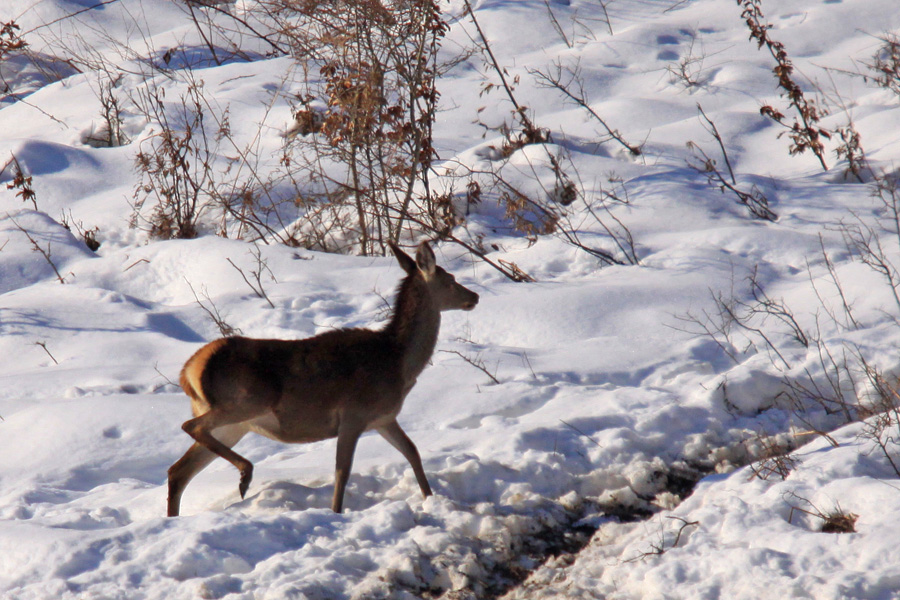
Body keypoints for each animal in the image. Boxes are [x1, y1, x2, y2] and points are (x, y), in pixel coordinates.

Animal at [167, 241, 478, 516]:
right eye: (450, 280)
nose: (474, 297)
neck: (399, 364)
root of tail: (188, 372)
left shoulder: (383, 418)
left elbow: (412, 451)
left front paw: (430, 498)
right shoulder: (353, 414)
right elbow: (342, 471)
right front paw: (336, 513)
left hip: (235, 425)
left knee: (178, 470)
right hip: (249, 399)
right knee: (190, 427)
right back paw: (246, 474)